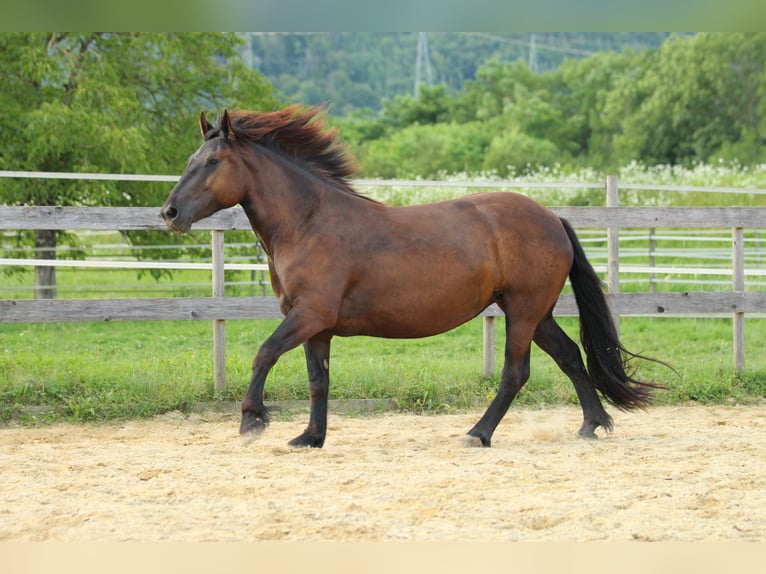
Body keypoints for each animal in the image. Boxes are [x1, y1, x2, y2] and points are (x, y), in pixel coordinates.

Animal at [159, 107, 664, 450]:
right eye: (191, 158)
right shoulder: (316, 326)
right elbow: (318, 380)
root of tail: (552, 218)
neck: (309, 221)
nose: (170, 212)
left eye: (211, 162)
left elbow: (264, 354)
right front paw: (310, 437)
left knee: (515, 373)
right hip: (534, 312)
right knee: (570, 357)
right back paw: (592, 425)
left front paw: (252, 421)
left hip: (523, 311)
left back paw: (478, 433)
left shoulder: (309, 314)